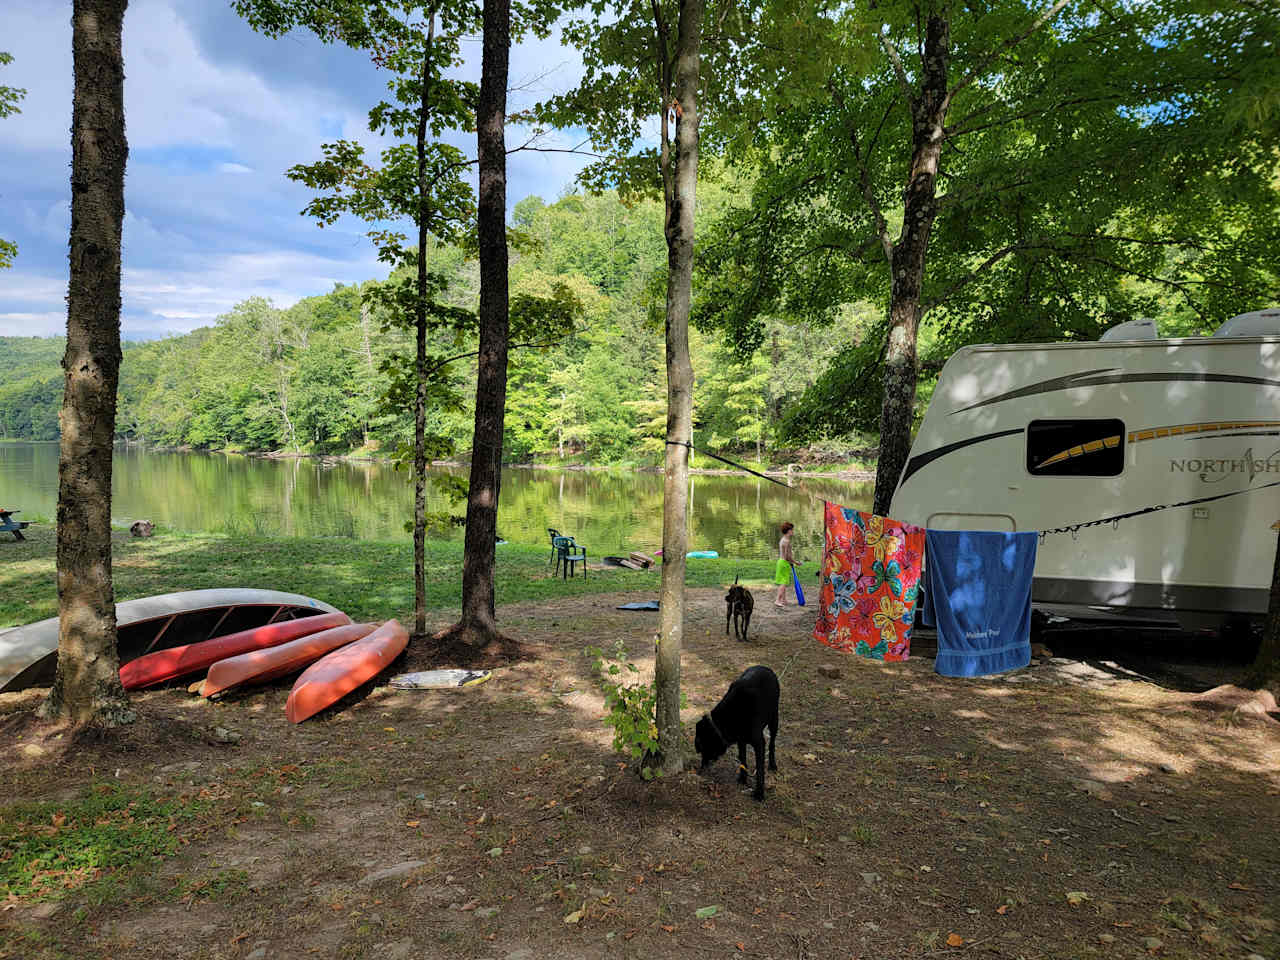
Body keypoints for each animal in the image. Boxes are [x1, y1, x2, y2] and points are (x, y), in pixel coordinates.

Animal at [696, 665, 773, 798]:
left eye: (701, 747)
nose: (701, 770)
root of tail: (764, 667)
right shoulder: (740, 740)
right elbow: (743, 761)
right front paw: (743, 779)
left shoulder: (759, 744)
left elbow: (760, 769)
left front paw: (759, 793)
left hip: (774, 718)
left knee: (773, 743)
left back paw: (773, 765)